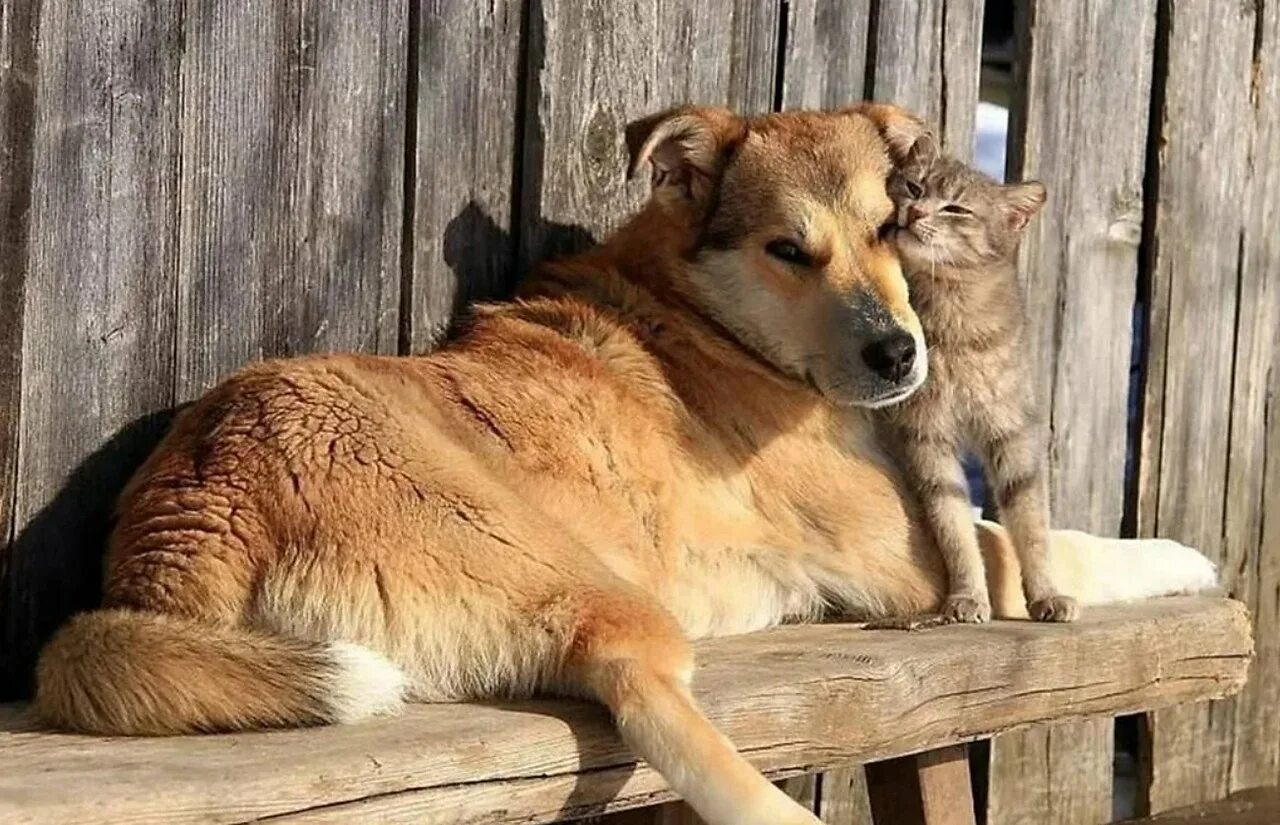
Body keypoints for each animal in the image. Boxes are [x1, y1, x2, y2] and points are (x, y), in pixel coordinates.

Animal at [880, 134, 1070, 624]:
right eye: (914, 186)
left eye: (957, 209)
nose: (916, 212)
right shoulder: (925, 438)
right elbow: (953, 527)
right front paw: (967, 596)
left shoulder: (1013, 431)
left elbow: (1031, 524)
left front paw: (1047, 592)